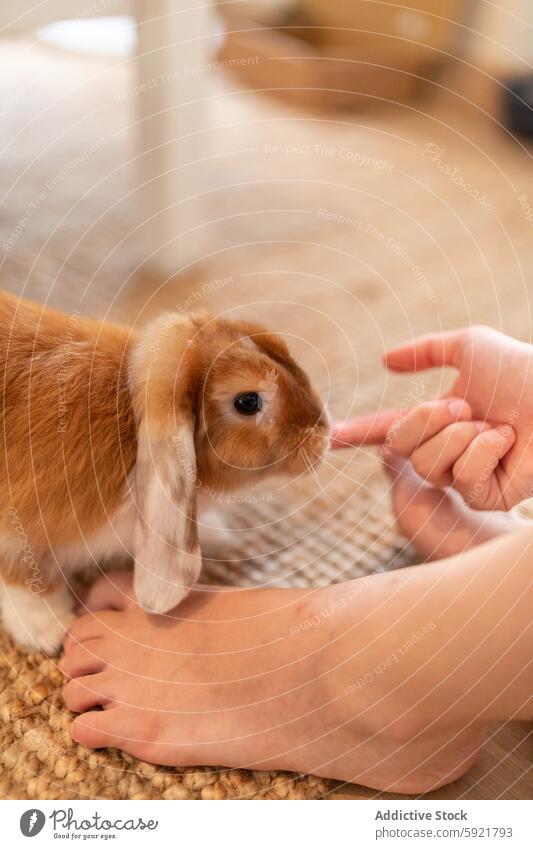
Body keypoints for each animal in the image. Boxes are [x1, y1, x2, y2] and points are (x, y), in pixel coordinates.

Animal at [0, 288, 328, 652]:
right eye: (248, 402)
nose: (324, 434)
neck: (129, 420)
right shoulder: (19, 530)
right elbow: (26, 581)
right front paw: (52, 631)